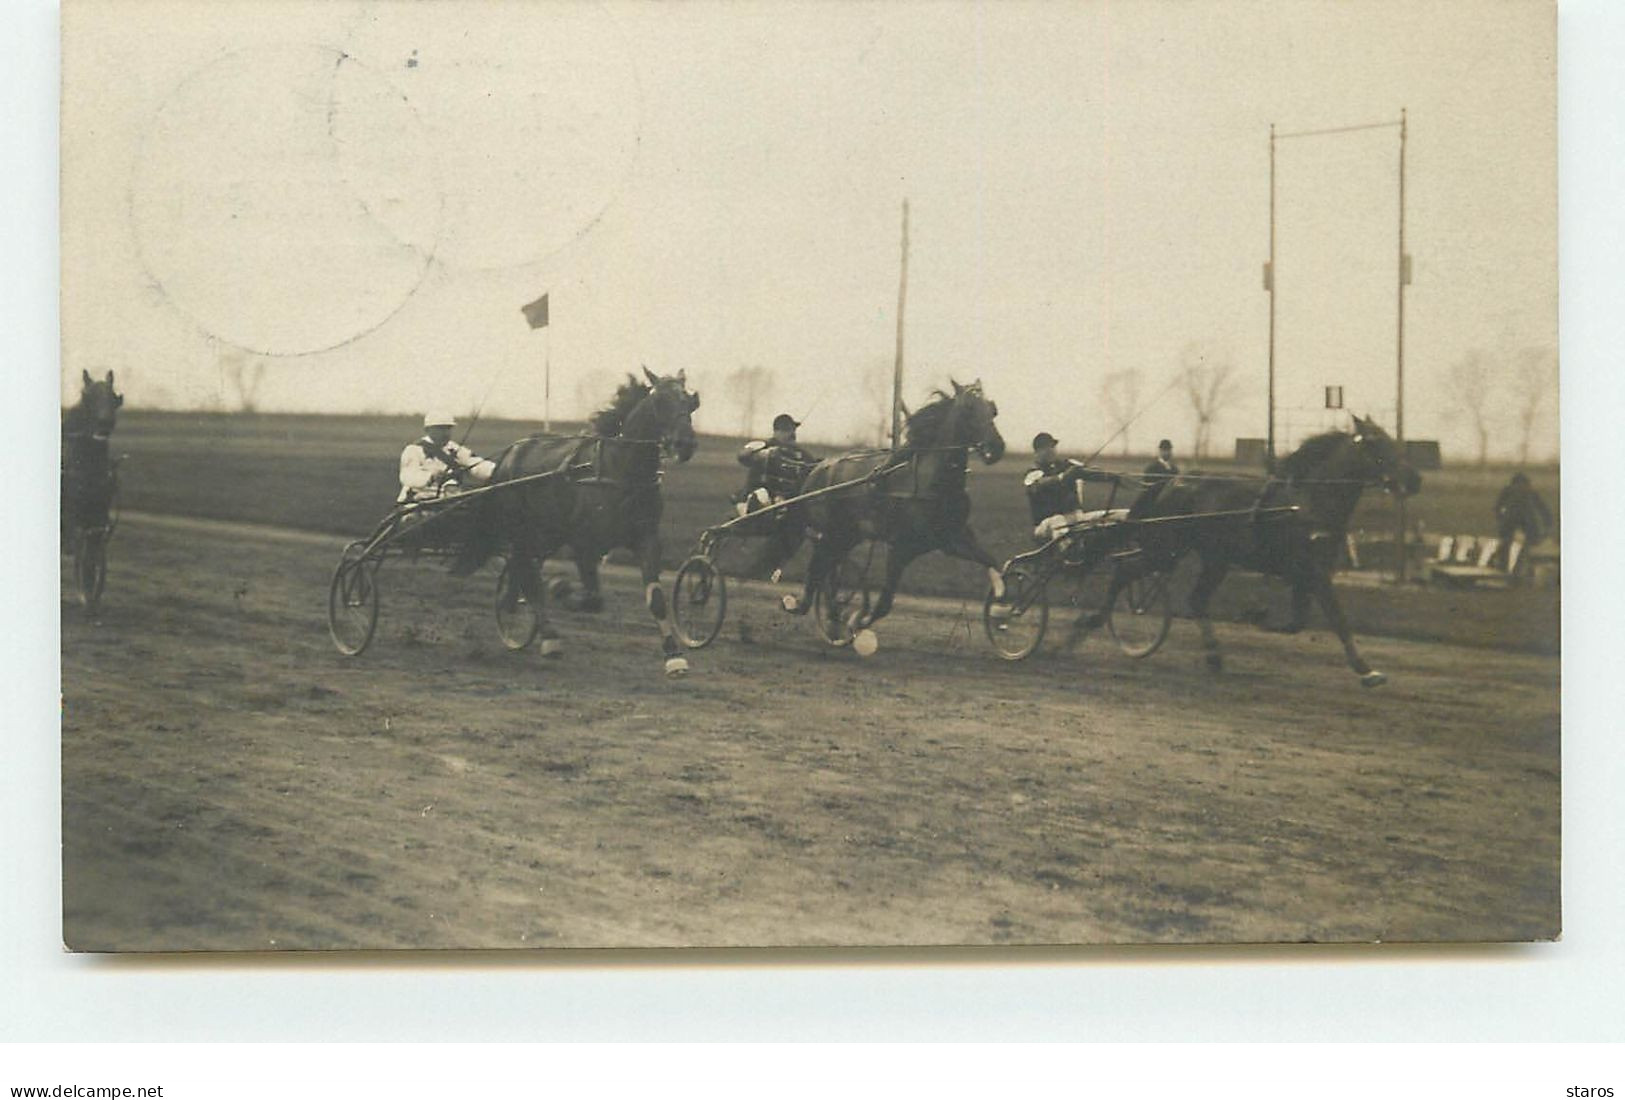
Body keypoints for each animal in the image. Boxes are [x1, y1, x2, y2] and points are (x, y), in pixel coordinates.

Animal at [451, 368, 698, 672]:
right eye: (660, 401)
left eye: (690, 401)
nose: (685, 444)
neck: (620, 471)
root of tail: (510, 455)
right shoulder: (584, 544)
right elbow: (593, 599)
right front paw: (560, 588)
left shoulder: (647, 539)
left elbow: (657, 599)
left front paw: (674, 656)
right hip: (523, 530)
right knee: (529, 577)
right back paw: (548, 636)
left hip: (546, 534)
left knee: (523, 570)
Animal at [786, 380, 1001, 640]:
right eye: (969, 408)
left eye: (992, 409)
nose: (996, 448)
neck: (933, 482)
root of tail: (818, 467)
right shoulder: (900, 548)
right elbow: (884, 603)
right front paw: (858, 620)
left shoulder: (953, 540)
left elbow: (994, 563)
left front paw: (1002, 608)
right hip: (829, 532)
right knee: (819, 564)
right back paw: (809, 606)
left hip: (848, 535)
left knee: (828, 565)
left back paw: (830, 615)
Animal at [1111, 412, 1417, 685]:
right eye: (1374, 442)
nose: (1415, 479)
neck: (1306, 503)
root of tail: (1171, 483)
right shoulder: (1313, 572)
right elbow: (1337, 618)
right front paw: (1366, 670)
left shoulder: (1308, 574)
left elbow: (1298, 622)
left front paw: (1257, 616)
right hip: (1165, 549)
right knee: (1125, 572)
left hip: (1213, 558)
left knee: (1196, 600)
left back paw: (1214, 656)